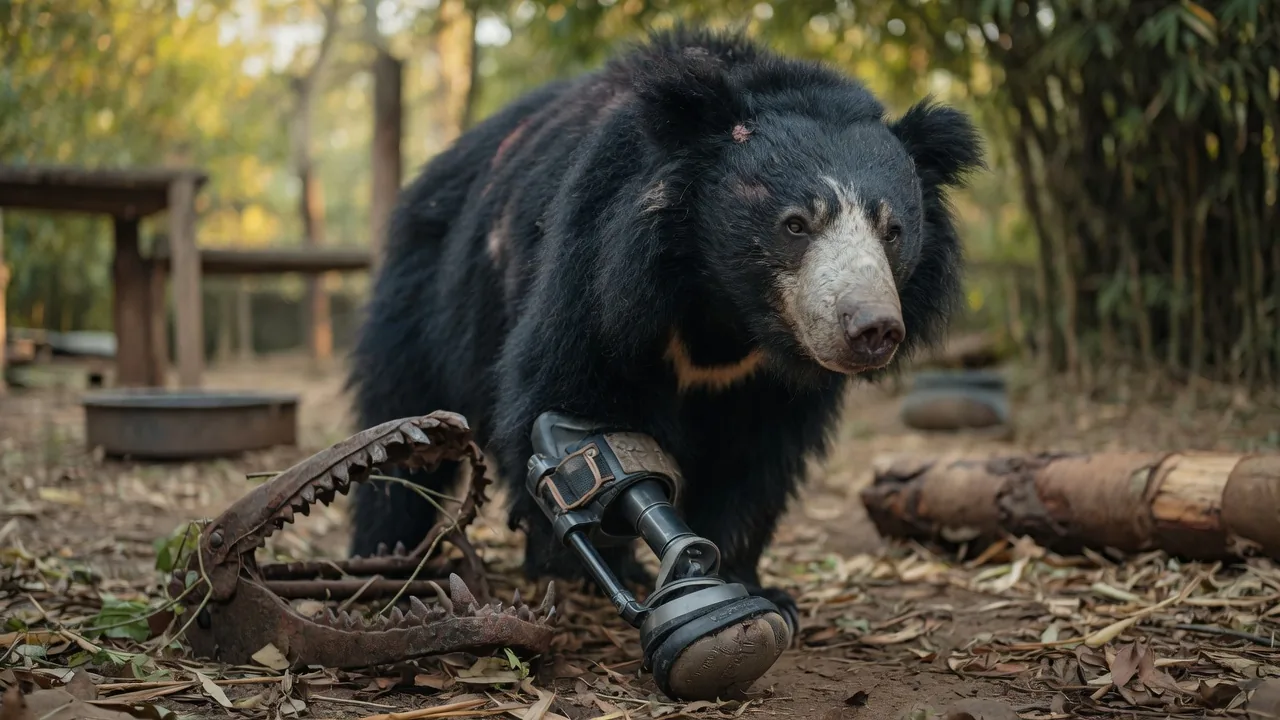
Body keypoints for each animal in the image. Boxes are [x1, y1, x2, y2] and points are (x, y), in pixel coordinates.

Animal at [347, 25, 983, 631]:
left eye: (893, 230)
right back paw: (385, 556)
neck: (726, 308)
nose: (871, 328)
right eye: (796, 224)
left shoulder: (768, 382)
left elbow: (757, 459)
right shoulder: (599, 265)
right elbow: (567, 397)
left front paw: (755, 587)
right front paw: (602, 567)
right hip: (424, 291)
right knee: (403, 428)